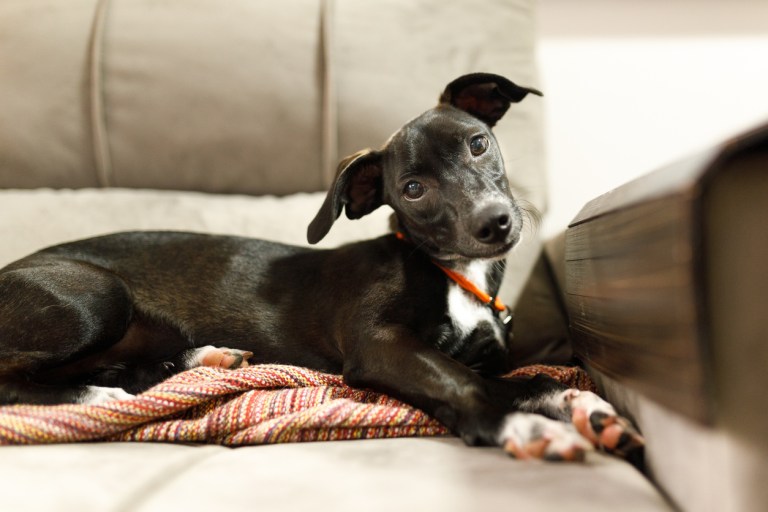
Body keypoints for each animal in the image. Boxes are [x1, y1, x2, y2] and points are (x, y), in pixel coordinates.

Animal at [0, 74, 640, 462]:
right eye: (412, 189)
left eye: (478, 143)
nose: (496, 223)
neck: (453, 273)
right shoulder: (381, 345)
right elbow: (462, 382)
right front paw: (521, 427)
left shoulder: (477, 359)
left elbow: (528, 379)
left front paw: (584, 408)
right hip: (97, 296)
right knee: (19, 377)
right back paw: (100, 397)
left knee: (128, 368)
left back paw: (199, 360)